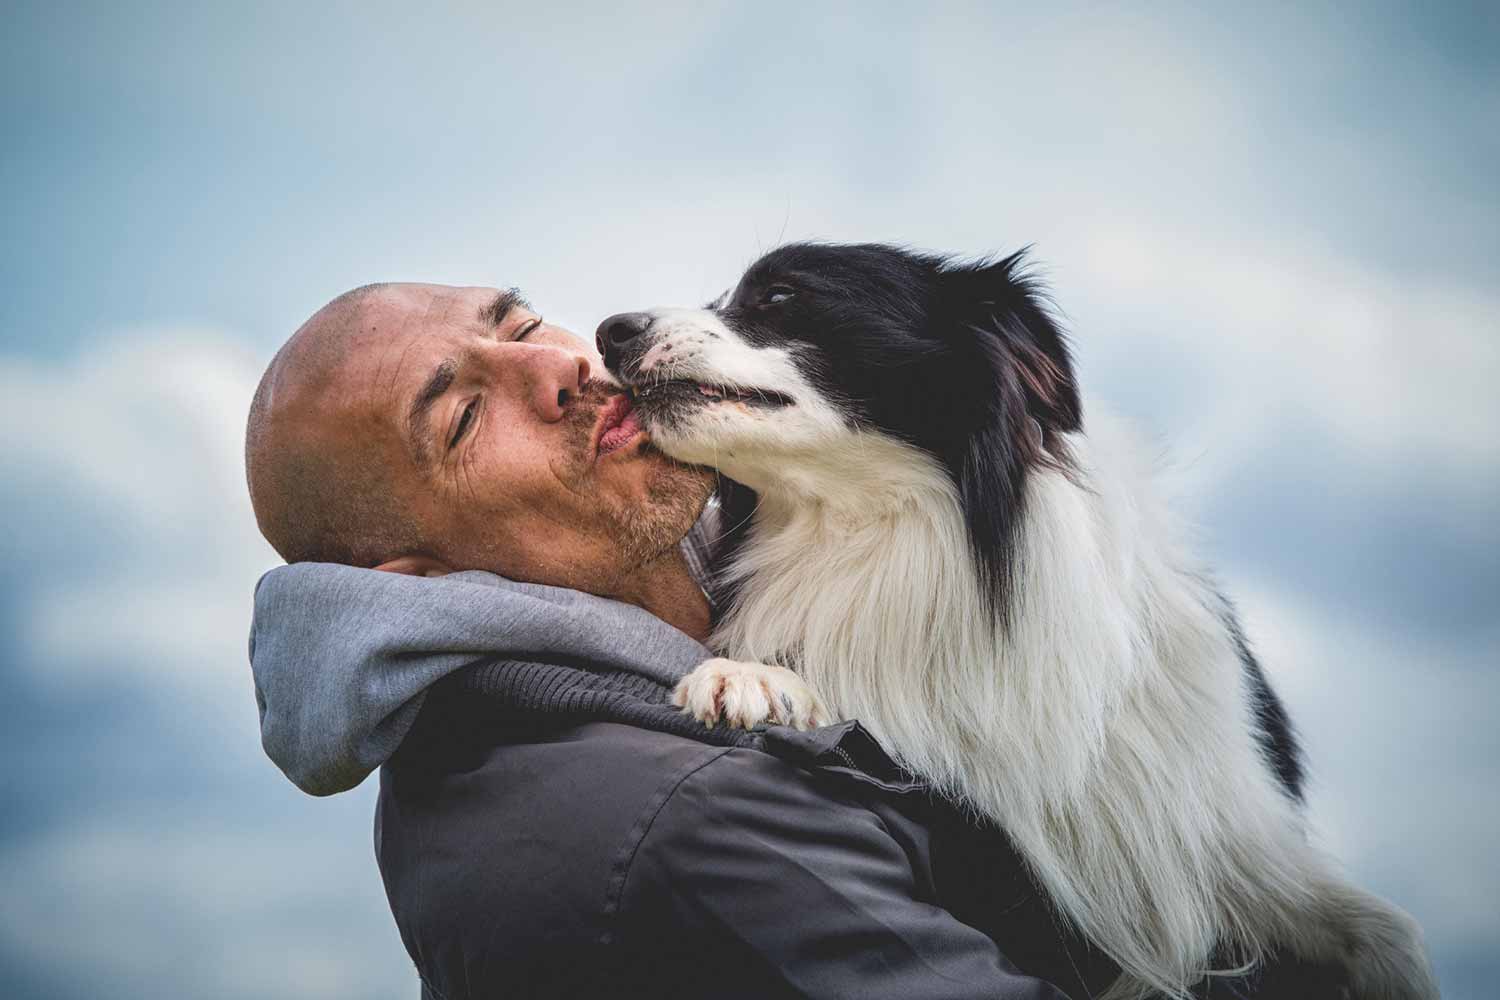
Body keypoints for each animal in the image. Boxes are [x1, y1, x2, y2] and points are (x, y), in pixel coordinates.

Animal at [591, 244, 1434, 1000]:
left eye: (779, 296)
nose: (610, 330)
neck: (895, 542)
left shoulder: (1241, 842)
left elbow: (1392, 943)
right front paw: (753, 677)